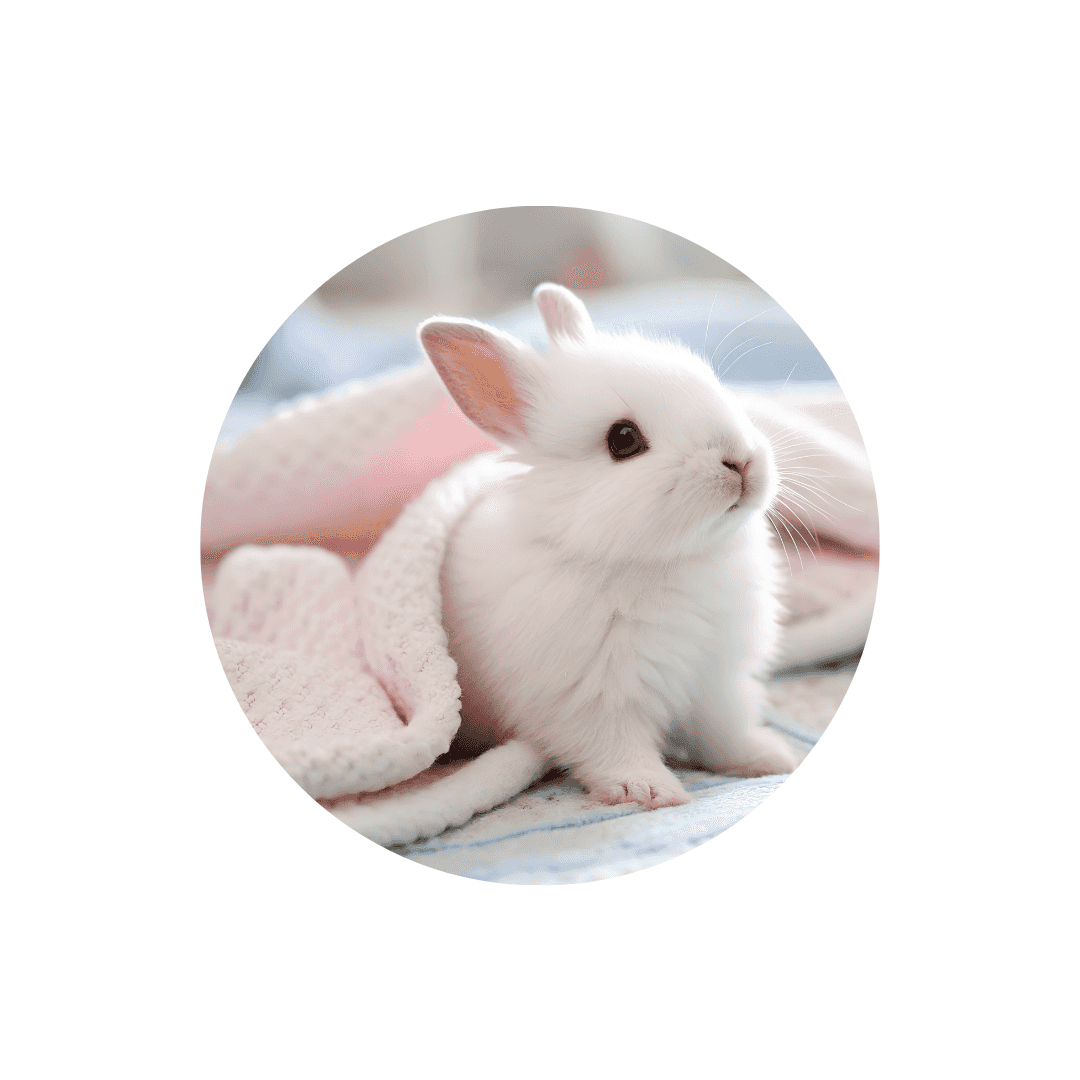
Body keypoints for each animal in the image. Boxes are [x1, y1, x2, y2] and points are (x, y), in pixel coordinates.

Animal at [419, 283, 799, 810]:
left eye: (712, 383)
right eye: (623, 439)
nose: (740, 461)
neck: (664, 563)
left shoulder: (716, 681)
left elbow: (723, 733)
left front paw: (768, 758)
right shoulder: (592, 697)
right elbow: (615, 748)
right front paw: (647, 791)